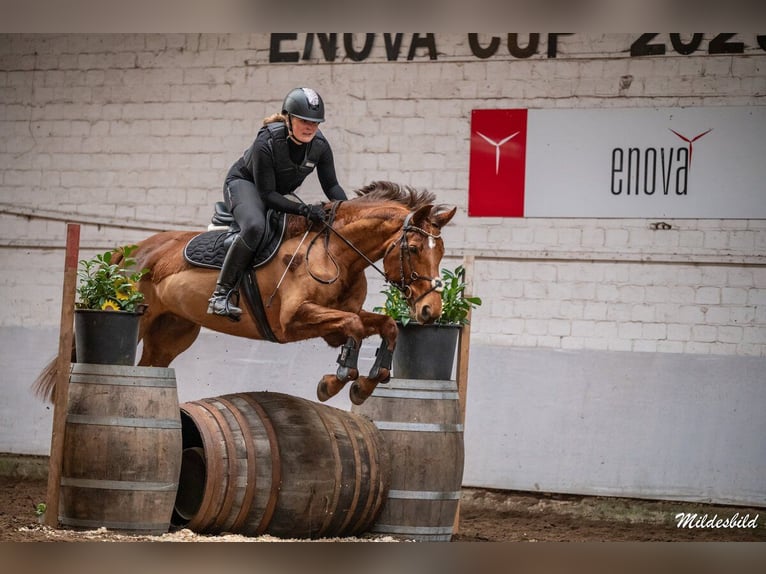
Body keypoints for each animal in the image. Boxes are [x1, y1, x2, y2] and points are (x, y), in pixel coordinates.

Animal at [33, 182, 456, 408]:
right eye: (414, 249)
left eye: (442, 252)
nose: (430, 310)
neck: (336, 251)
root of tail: (132, 250)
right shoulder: (293, 320)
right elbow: (354, 325)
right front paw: (335, 382)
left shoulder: (329, 325)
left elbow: (384, 326)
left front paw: (365, 384)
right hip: (134, 321)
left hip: (170, 335)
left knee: (148, 368)